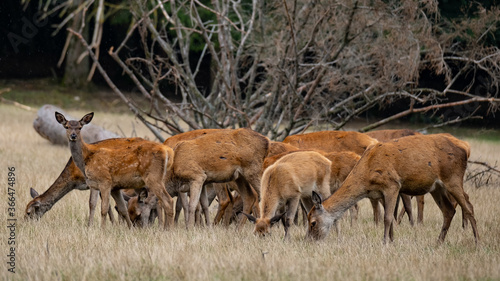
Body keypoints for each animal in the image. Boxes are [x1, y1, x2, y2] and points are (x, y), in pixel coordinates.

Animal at [306, 133, 478, 243]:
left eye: (313, 222)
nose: (309, 240)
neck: (366, 176)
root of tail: (465, 149)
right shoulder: (380, 193)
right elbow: (388, 216)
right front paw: (392, 240)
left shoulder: (392, 185)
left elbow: (387, 217)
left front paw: (384, 242)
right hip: (437, 187)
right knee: (449, 210)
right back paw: (439, 242)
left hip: (453, 178)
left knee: (469, 206)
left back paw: (477, 241)